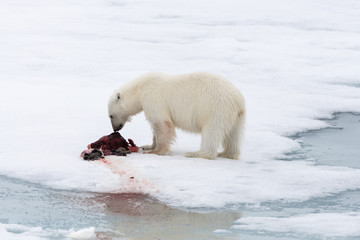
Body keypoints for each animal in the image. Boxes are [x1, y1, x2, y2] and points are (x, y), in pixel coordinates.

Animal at [108, 72, 246, 160]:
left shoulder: (153, 98)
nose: (115, 129)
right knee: (233, 135)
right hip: (236, 116)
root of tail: (238, 99)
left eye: (111, 116)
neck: (140, 88)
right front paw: (148, 146)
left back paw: (196, 153)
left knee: (211, 131)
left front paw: (156, 151)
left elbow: (162, 124)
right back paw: (226, 153)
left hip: (215, 108)